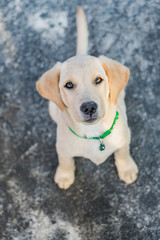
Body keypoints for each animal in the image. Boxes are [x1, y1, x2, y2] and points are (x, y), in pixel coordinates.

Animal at [36, 7, 138, 189]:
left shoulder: (125, 137)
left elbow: (123, 152)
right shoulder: (61, 146)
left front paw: (127, 169)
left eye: (98, 80)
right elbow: (65, 160)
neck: (94, 133)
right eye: (69, 85)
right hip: (52, 108)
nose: (89, 107)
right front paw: (64, 176)